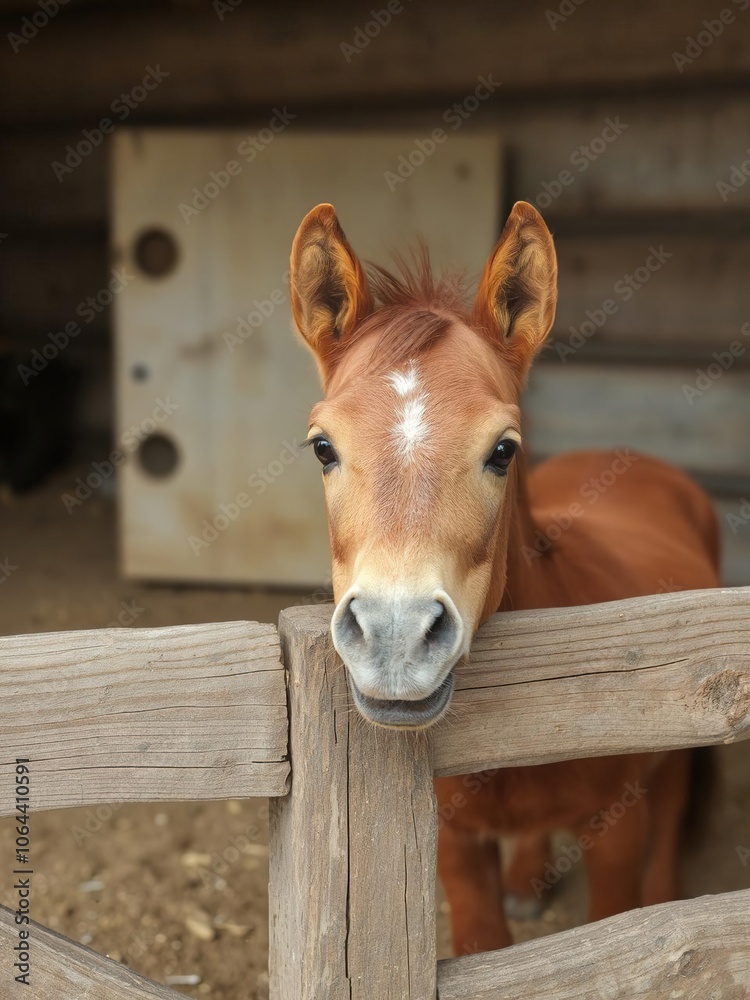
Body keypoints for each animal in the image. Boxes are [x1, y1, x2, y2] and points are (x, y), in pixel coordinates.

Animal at [288, 200, 720, 955]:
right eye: (322, 447)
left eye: (502, 450)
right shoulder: (456, 847)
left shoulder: (617, 830)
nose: (394, 639)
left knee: (671, 812)